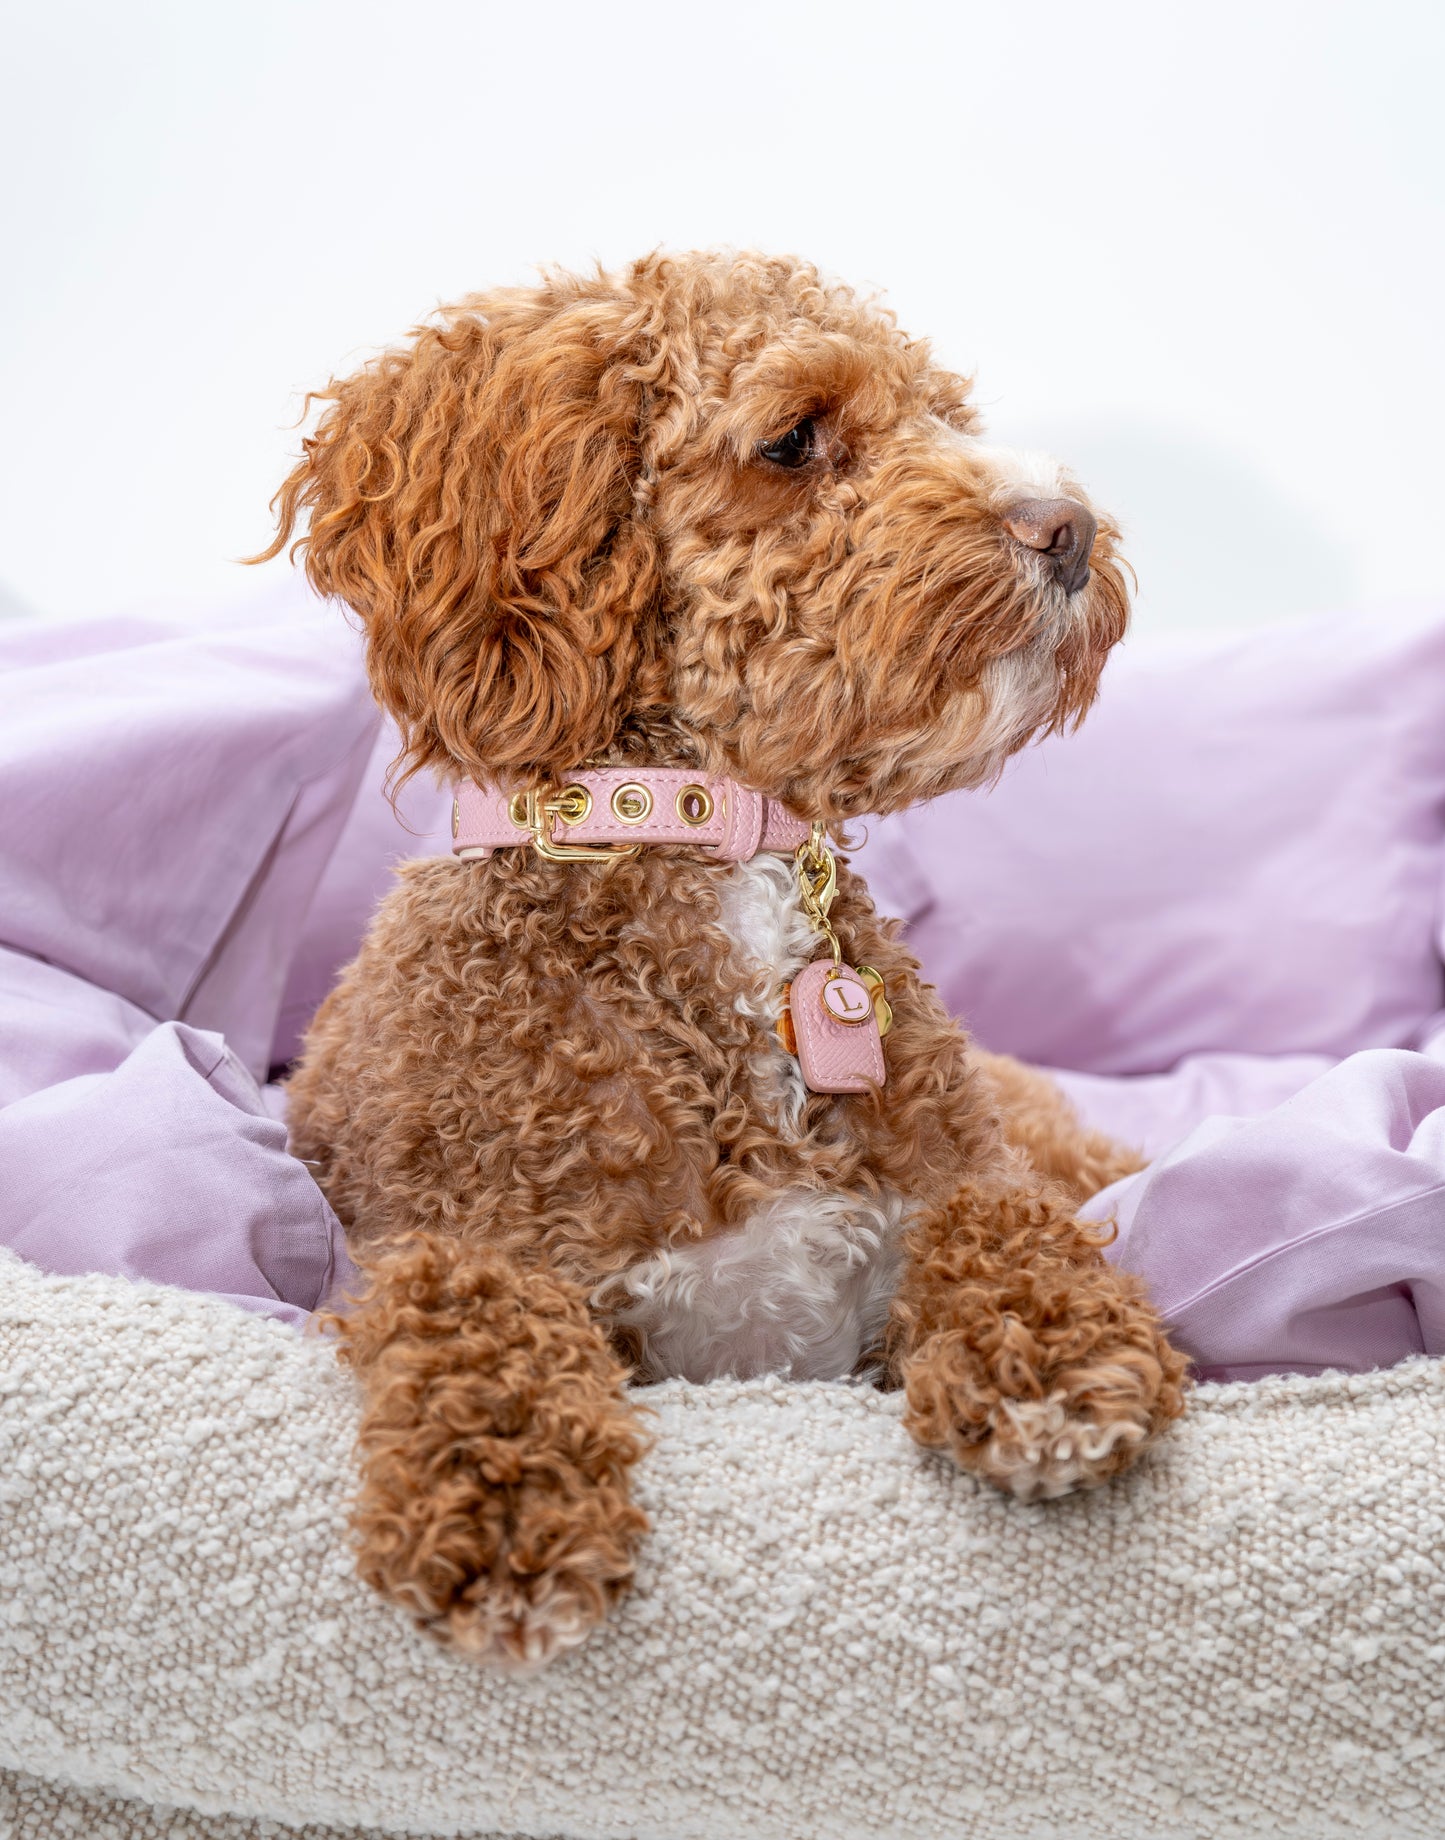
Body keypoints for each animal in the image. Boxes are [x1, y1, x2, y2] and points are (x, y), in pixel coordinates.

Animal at [259, 252, 1185, 1678]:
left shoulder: (949, 1181)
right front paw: (506, 1504)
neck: (716, 843)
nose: (1067, 527)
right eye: (793, 439)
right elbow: (471, 1310)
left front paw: (1051, 1355)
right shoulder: (461, 1228)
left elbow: (1005, 1220)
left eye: (943, 415)